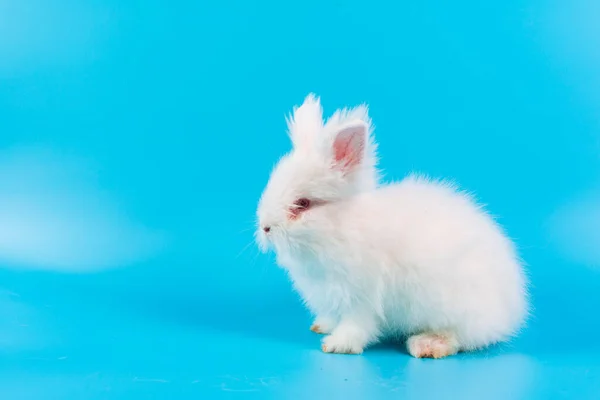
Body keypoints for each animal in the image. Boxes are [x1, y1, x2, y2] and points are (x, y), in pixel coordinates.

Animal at [255, 94, 528, 360]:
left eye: (302, 204)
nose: (265, 228)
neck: (339, 229)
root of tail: (513, 309)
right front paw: (322, 326)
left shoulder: (361, 298)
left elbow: (357, 325)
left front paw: (336, 345)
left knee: (462, 337)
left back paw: (427, 344)